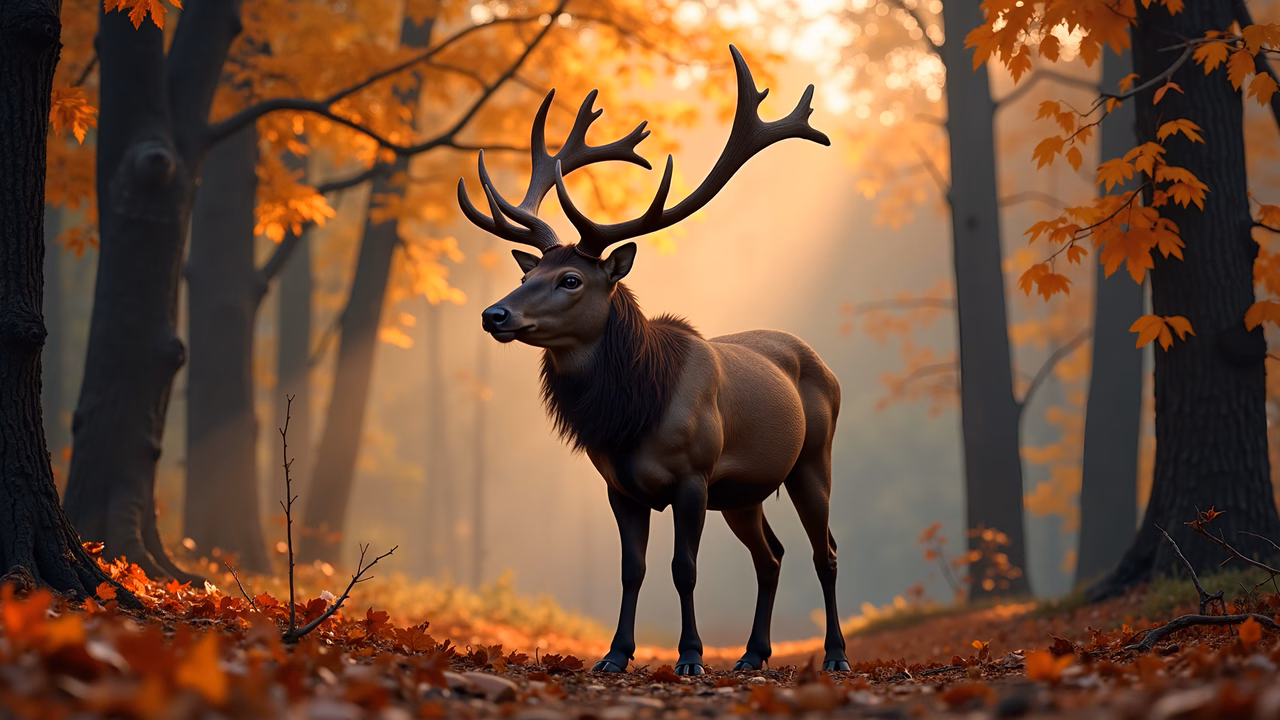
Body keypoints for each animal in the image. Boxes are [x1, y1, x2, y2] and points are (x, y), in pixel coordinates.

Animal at [457, 45, 847, 676]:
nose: (495, 315)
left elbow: (683, 569)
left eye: (571, 279)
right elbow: (631, 570)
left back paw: (834, 654)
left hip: (813, 458)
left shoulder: (693, 474)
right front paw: (615, 655)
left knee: (825, 550)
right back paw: (752, 655)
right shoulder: (619, 485)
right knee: (772, 555)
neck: (632, 416)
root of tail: (828, 370)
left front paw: (690, 656)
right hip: (743, 492)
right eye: (527, 274)